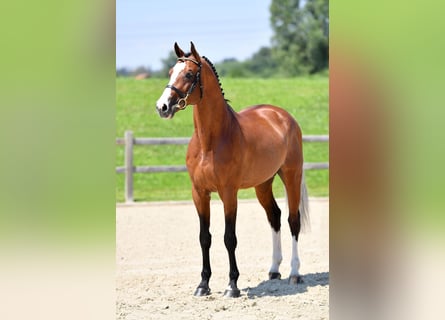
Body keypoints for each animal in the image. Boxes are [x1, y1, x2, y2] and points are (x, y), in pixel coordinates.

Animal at [156, 42, 308, 298]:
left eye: (189, 74)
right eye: (170, 72)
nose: (162, 107)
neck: (210, 142)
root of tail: (282, 115)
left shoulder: (229, 193)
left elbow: (229, 238)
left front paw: (232, 286)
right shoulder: (199, 193)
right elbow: (204, 237)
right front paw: (203, 285)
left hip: (291, 176)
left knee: (292, 220)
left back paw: (294, 273)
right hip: (263, 184)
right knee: (275, 217)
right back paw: (274, 269)